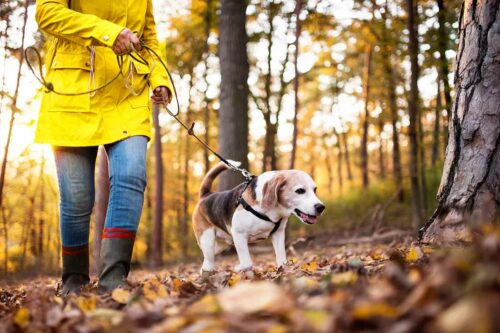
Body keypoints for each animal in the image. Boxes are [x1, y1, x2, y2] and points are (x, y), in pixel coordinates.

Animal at [190, 161, 324, 272]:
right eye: (300, 190)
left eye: (315, 189)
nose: (321, 207)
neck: (273, 211)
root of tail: (206, 195)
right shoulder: (239, 235)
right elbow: (247, 264)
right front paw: (240, 269)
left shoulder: (278, 234)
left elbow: (282, 259)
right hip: (207, 241)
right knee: (209, 259)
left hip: (220, 246)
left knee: (206, 262)